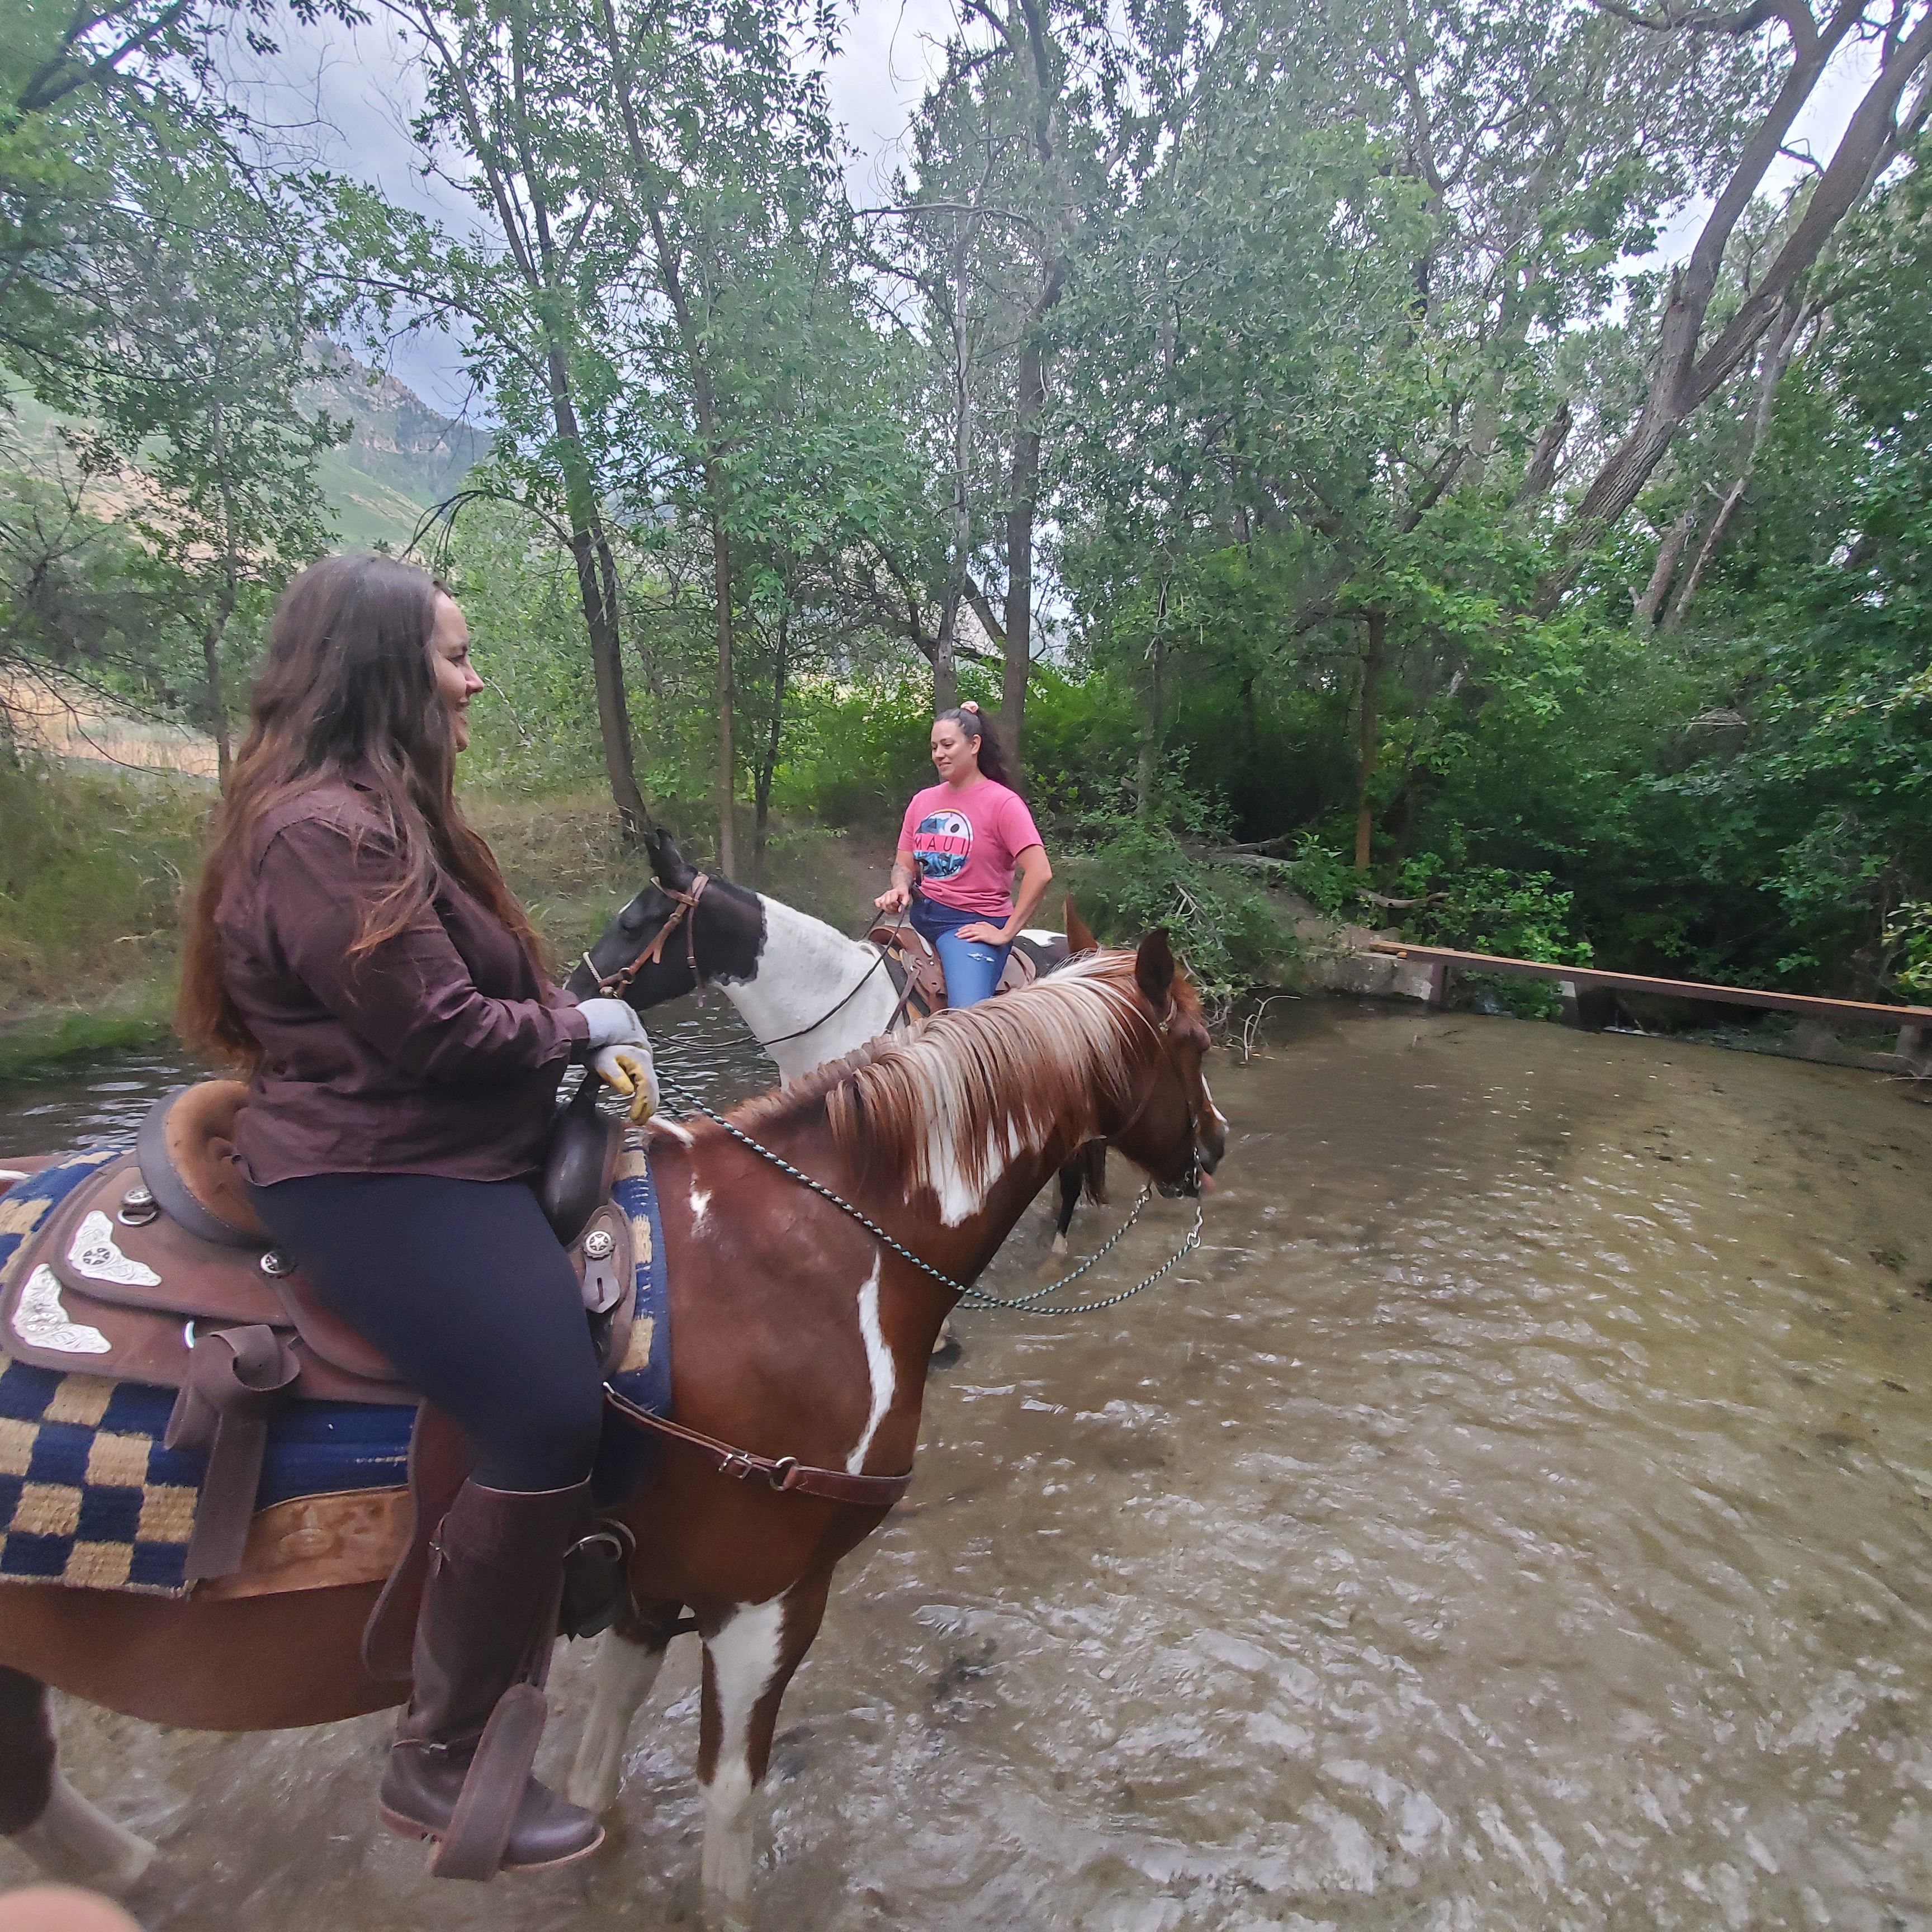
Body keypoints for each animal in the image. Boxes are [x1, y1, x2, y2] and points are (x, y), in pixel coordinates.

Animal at [0, 935, 1221, 1916]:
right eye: (1197, 1042)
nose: (1211, 1147)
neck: (816, 1248)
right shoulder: (769, 1594)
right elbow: (731, 1800)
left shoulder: (645, 1577)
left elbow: (601, 1757)